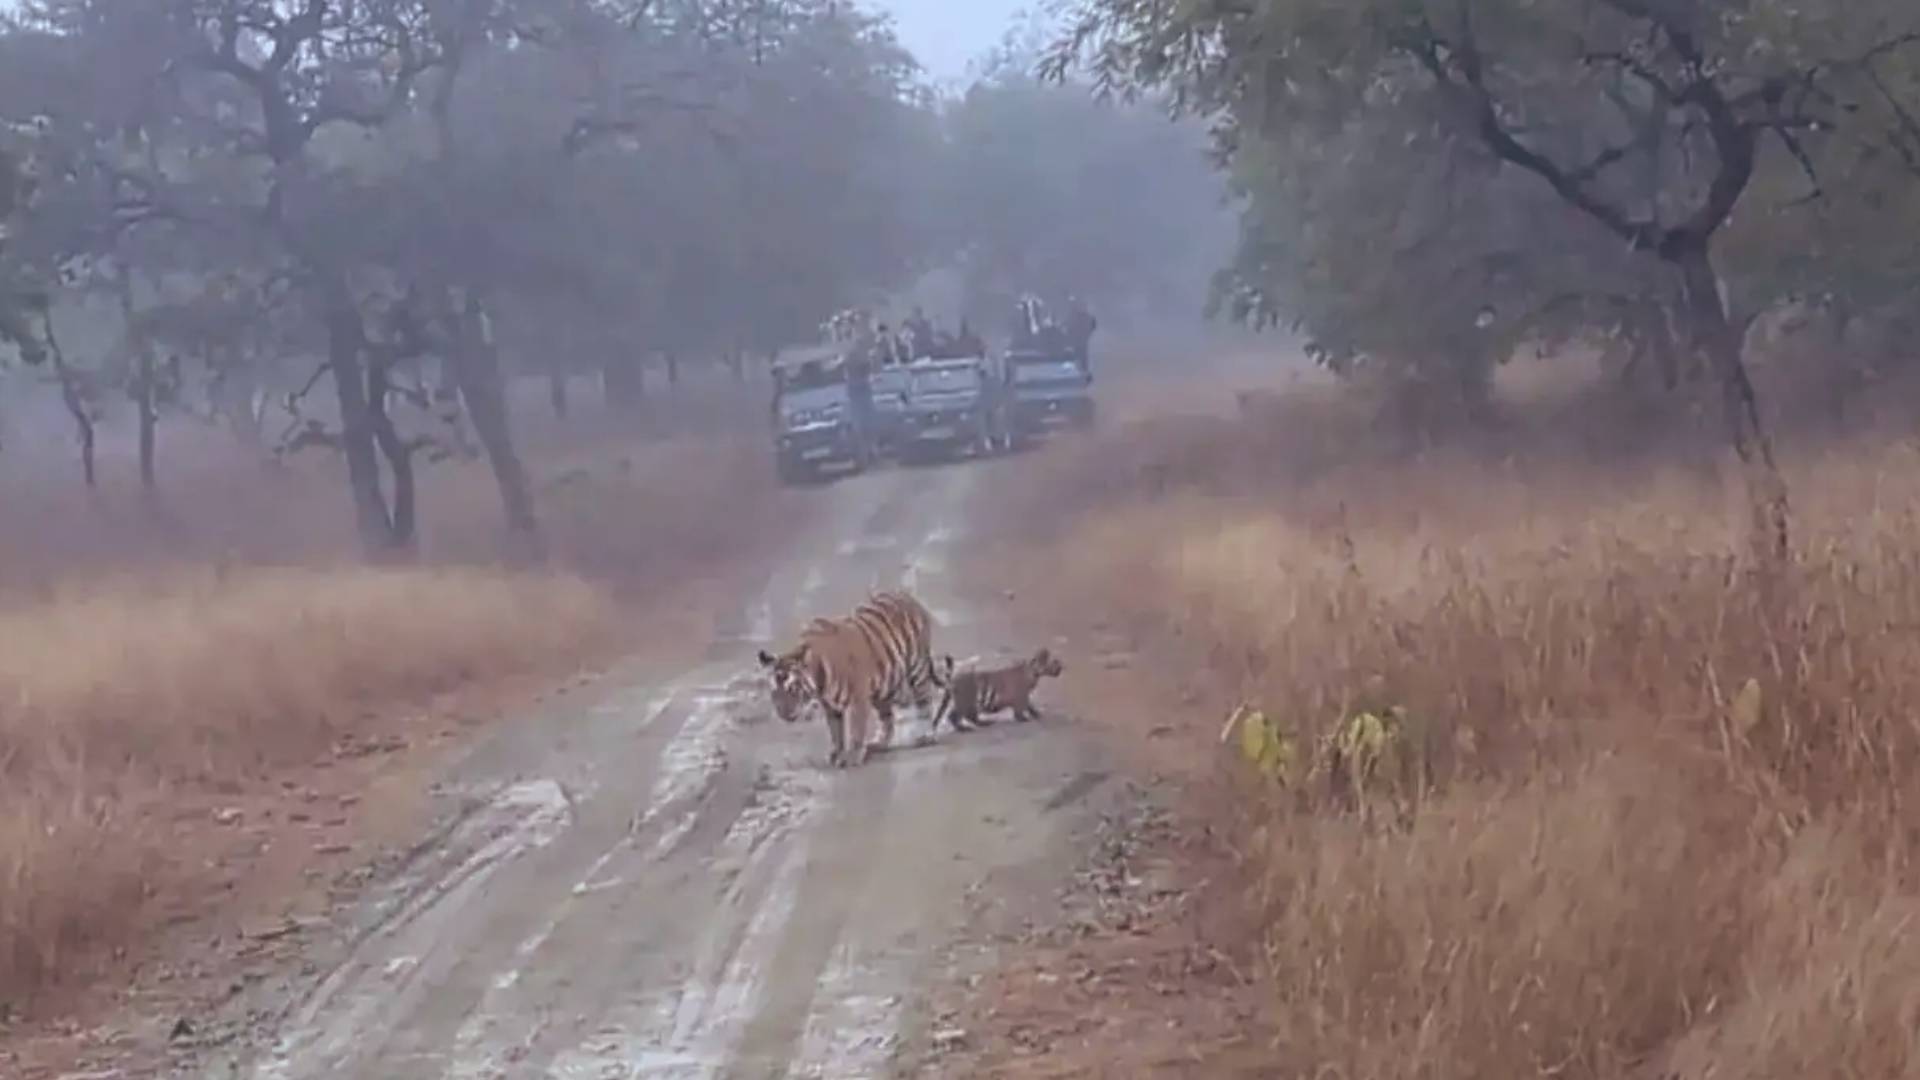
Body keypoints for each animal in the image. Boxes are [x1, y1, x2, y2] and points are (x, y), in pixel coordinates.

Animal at [760, 588, 948, 764]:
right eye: (775, 692)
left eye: (793, 689)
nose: (784, 714)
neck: (819, 681)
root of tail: (905, 595)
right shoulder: (831, 706)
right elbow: (836, 732)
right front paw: (836, 754)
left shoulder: (858, 700)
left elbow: (856, 730)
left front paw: (852, 756)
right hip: (883, 687)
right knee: (887, 718)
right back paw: (879, 743)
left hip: (917, 670)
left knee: (924, 703)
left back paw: (926, 735)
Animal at [933, 645, 1067, 730]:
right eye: (1055, 662)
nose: (1062, 667)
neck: (1033, 672)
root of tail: (953, 678)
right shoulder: (1021, 697)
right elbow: (1021, 710)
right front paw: (1025, 718)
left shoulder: (1024, 697)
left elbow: (1030, 706)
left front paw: (1036, 714)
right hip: (966, 702)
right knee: (958, 716)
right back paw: (966, 728)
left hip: (965, 702)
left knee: (962, 716)